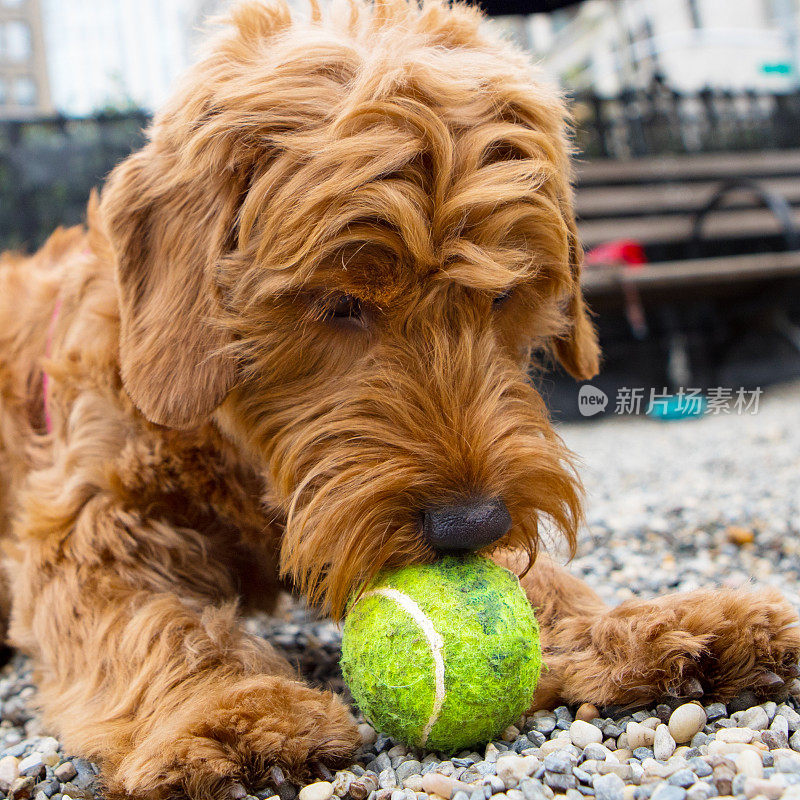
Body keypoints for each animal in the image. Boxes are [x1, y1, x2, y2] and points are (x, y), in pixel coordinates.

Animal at [0, 0, 796, 796]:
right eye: (341, 303)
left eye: (504, 294)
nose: (471, 525)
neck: (233, 450)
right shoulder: (90, 527)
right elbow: (154, 621)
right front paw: (227, 708)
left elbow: (539, 588)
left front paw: (648, 624)